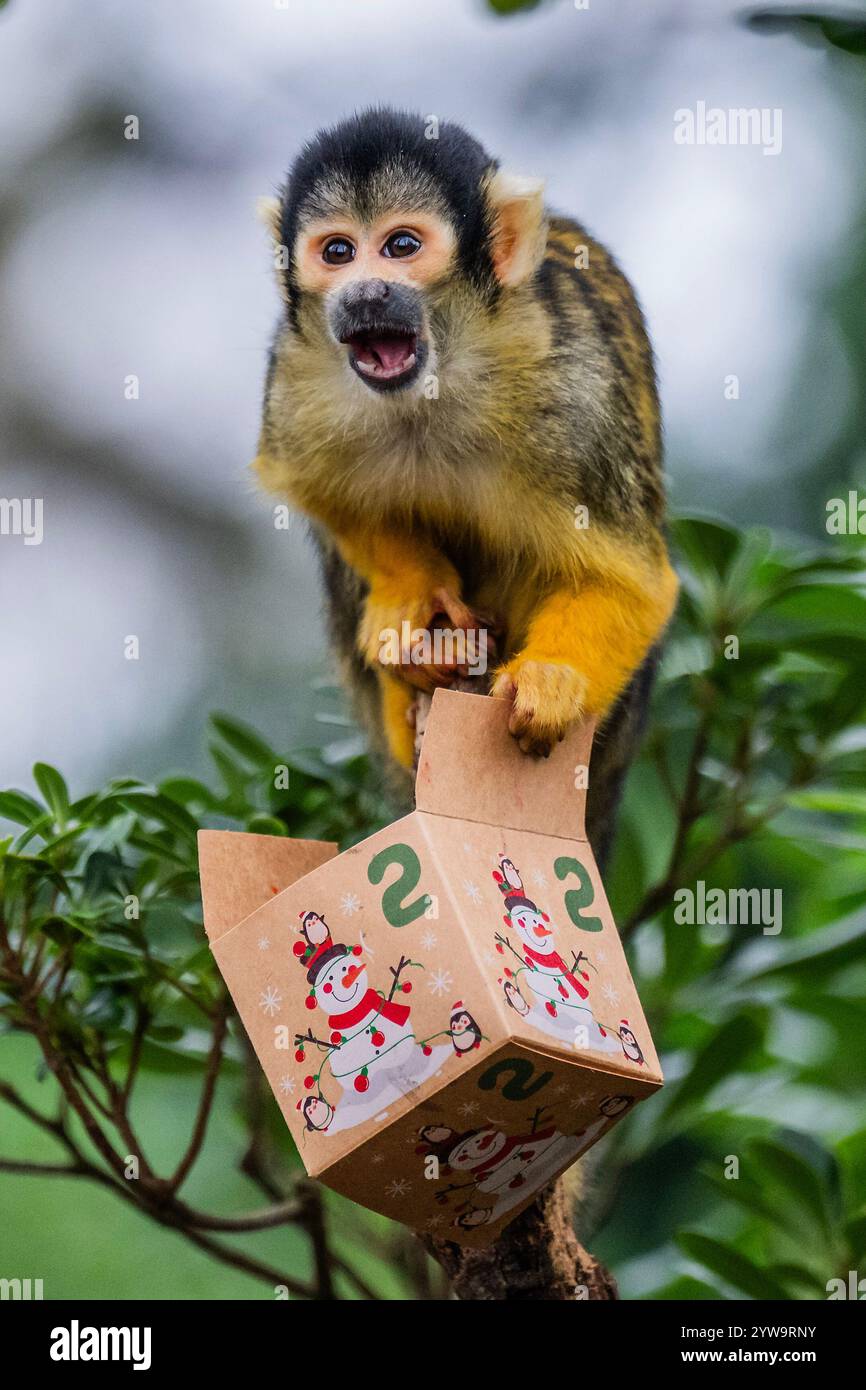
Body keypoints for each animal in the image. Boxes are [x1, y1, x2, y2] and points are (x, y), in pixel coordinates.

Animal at [254, 111, 681, 834]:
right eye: (337, 252)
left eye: (400, 245)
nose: (365, 292)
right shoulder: (295, 371)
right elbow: (316, 491)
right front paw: (411, 593)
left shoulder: (575, 398)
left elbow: (633, 582)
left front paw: (550, 680)